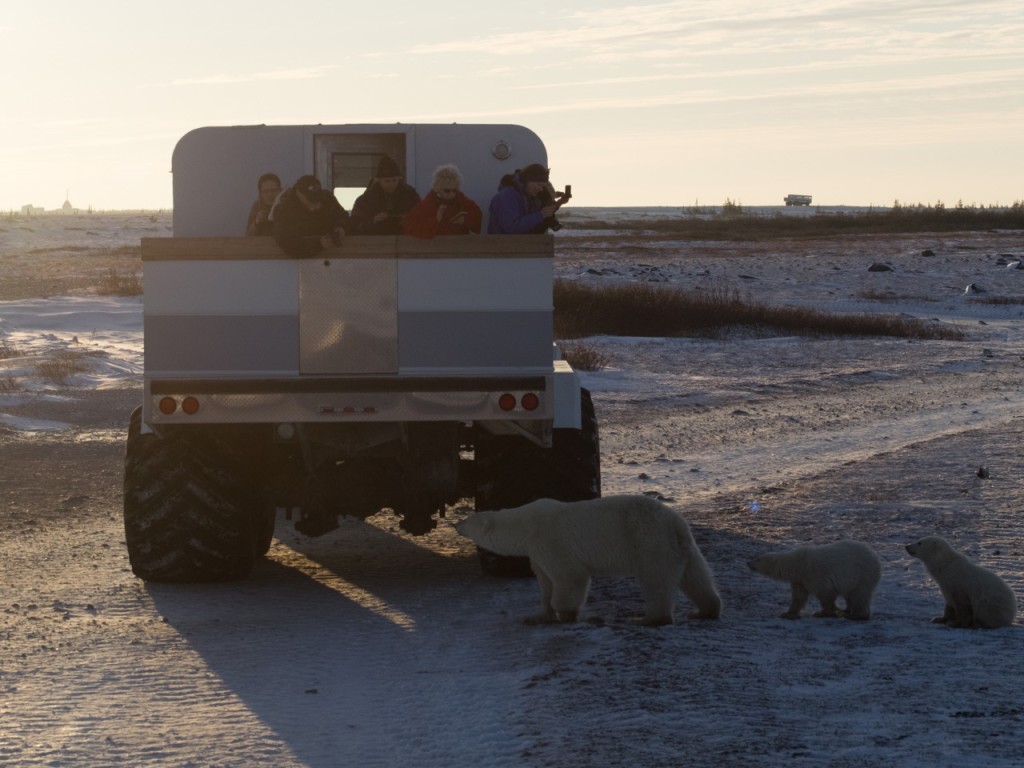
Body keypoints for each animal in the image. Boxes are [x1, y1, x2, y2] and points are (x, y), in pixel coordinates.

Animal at [454, 494, 722, 626]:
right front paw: (538, 616)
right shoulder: (536, 553)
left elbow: (569, 576)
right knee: (697, 577)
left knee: (656, 581)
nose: (455, 524)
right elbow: (545, 582)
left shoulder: (551, 540)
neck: (526, 525)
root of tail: (676, 523)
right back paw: (705, 610)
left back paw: (648, 618)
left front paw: (565, 613)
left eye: (467, 520)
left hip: (650, 542)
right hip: (681, 547)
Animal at [747, 540, 881, 620]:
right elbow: (799, 597)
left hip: (862, 574)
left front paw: (825, 612)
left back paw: (857, 615)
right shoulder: (800, 579)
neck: (797, 564)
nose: (748, 562)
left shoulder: (813, 573)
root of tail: (875, 557)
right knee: (850, 594)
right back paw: (847, 610)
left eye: (758, 559)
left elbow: (826, 593)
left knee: (860, 594)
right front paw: (787, 614)